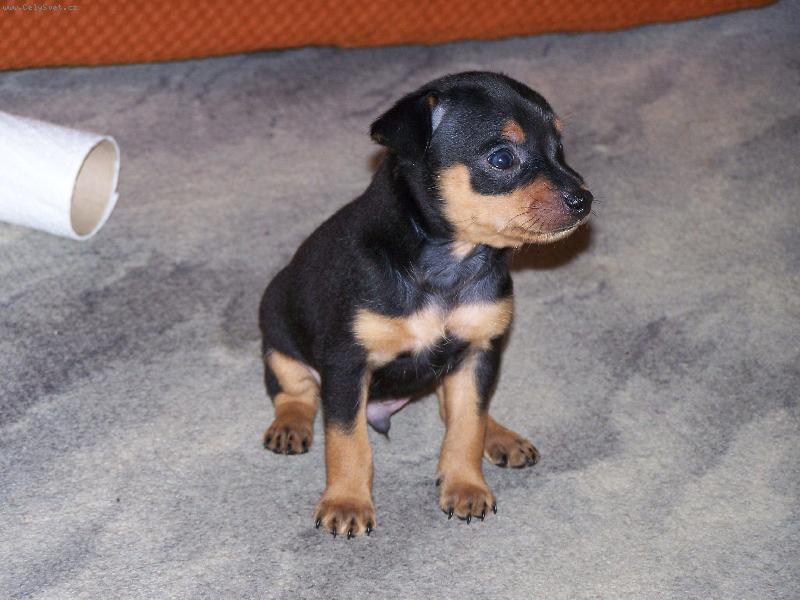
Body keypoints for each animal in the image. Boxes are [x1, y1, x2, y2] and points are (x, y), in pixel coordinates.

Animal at [259, 71, 592, 538]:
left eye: (559, 148)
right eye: (502, 158)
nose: (584, 200)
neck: (447, 264)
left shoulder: (479, 351)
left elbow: (467, 424)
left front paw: (466, 485)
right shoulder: (346, 364)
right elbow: (347, 442)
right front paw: (346, 501)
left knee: (456, 407)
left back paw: (500, 436)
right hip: (278, 336)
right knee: (294, 392)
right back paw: (289, 427)